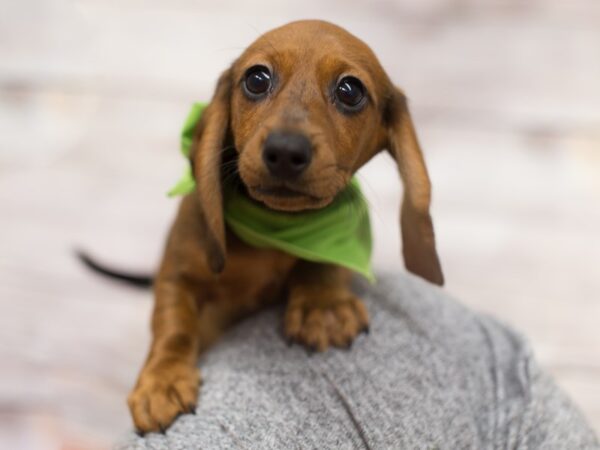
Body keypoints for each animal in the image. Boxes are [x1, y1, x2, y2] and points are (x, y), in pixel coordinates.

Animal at [127, 20, 446, 432]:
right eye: (256, 79)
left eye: (350, 91)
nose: (284, 151)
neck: (275, 226)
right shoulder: (176, 272)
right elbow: (173, 322)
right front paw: (162, 380)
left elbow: (322, 261)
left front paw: (322, 305)